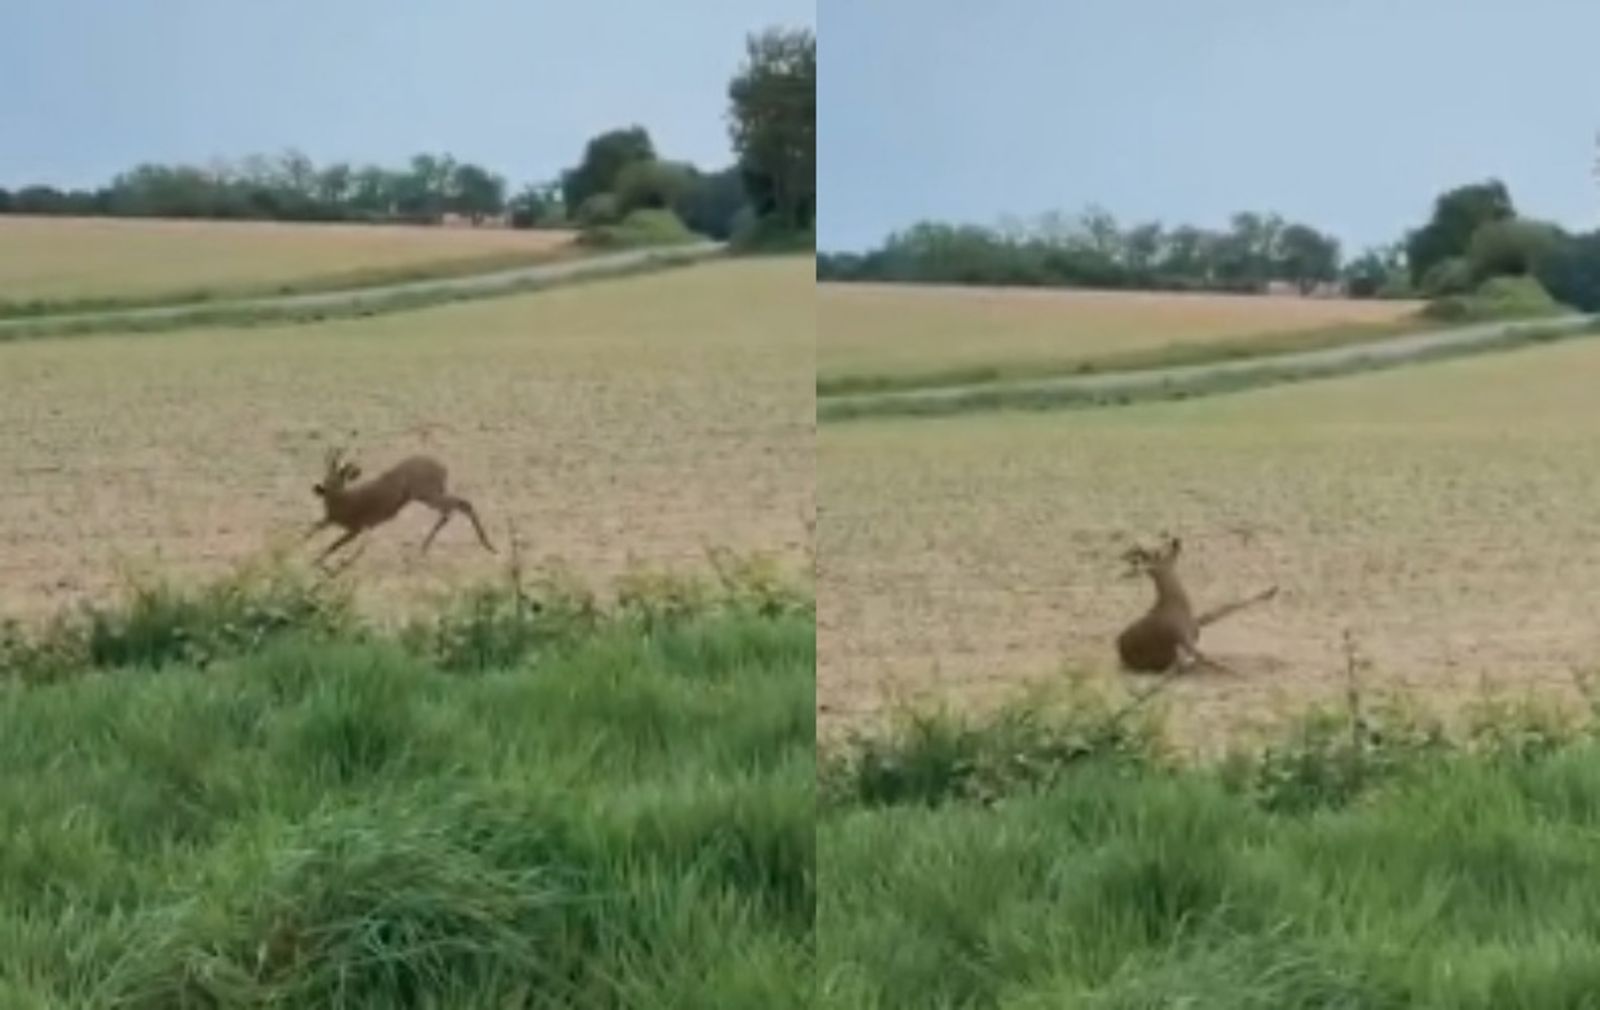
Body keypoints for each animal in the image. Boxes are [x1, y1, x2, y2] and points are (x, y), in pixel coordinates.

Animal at [302, 447, 496, 567]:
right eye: (327, 479)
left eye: (340, 479)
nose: (323, 488)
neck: (342, 502)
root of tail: (442, 467)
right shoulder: (332, 521)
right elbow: (310, 531)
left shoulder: (356, 528)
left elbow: (332, 546)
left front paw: (318, 562)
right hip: (430, 494)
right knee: (455, 508)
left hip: (426, 494)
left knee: (459, 505)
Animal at [1114, 533, 1277, 675]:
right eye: (1158, 552)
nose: (1176, 541)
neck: (1173, 603)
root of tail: (1121, 647)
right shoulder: (1188, 642)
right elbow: (1215, 661)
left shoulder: (1195, 628)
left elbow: (1224, 608)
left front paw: (1272, 590)